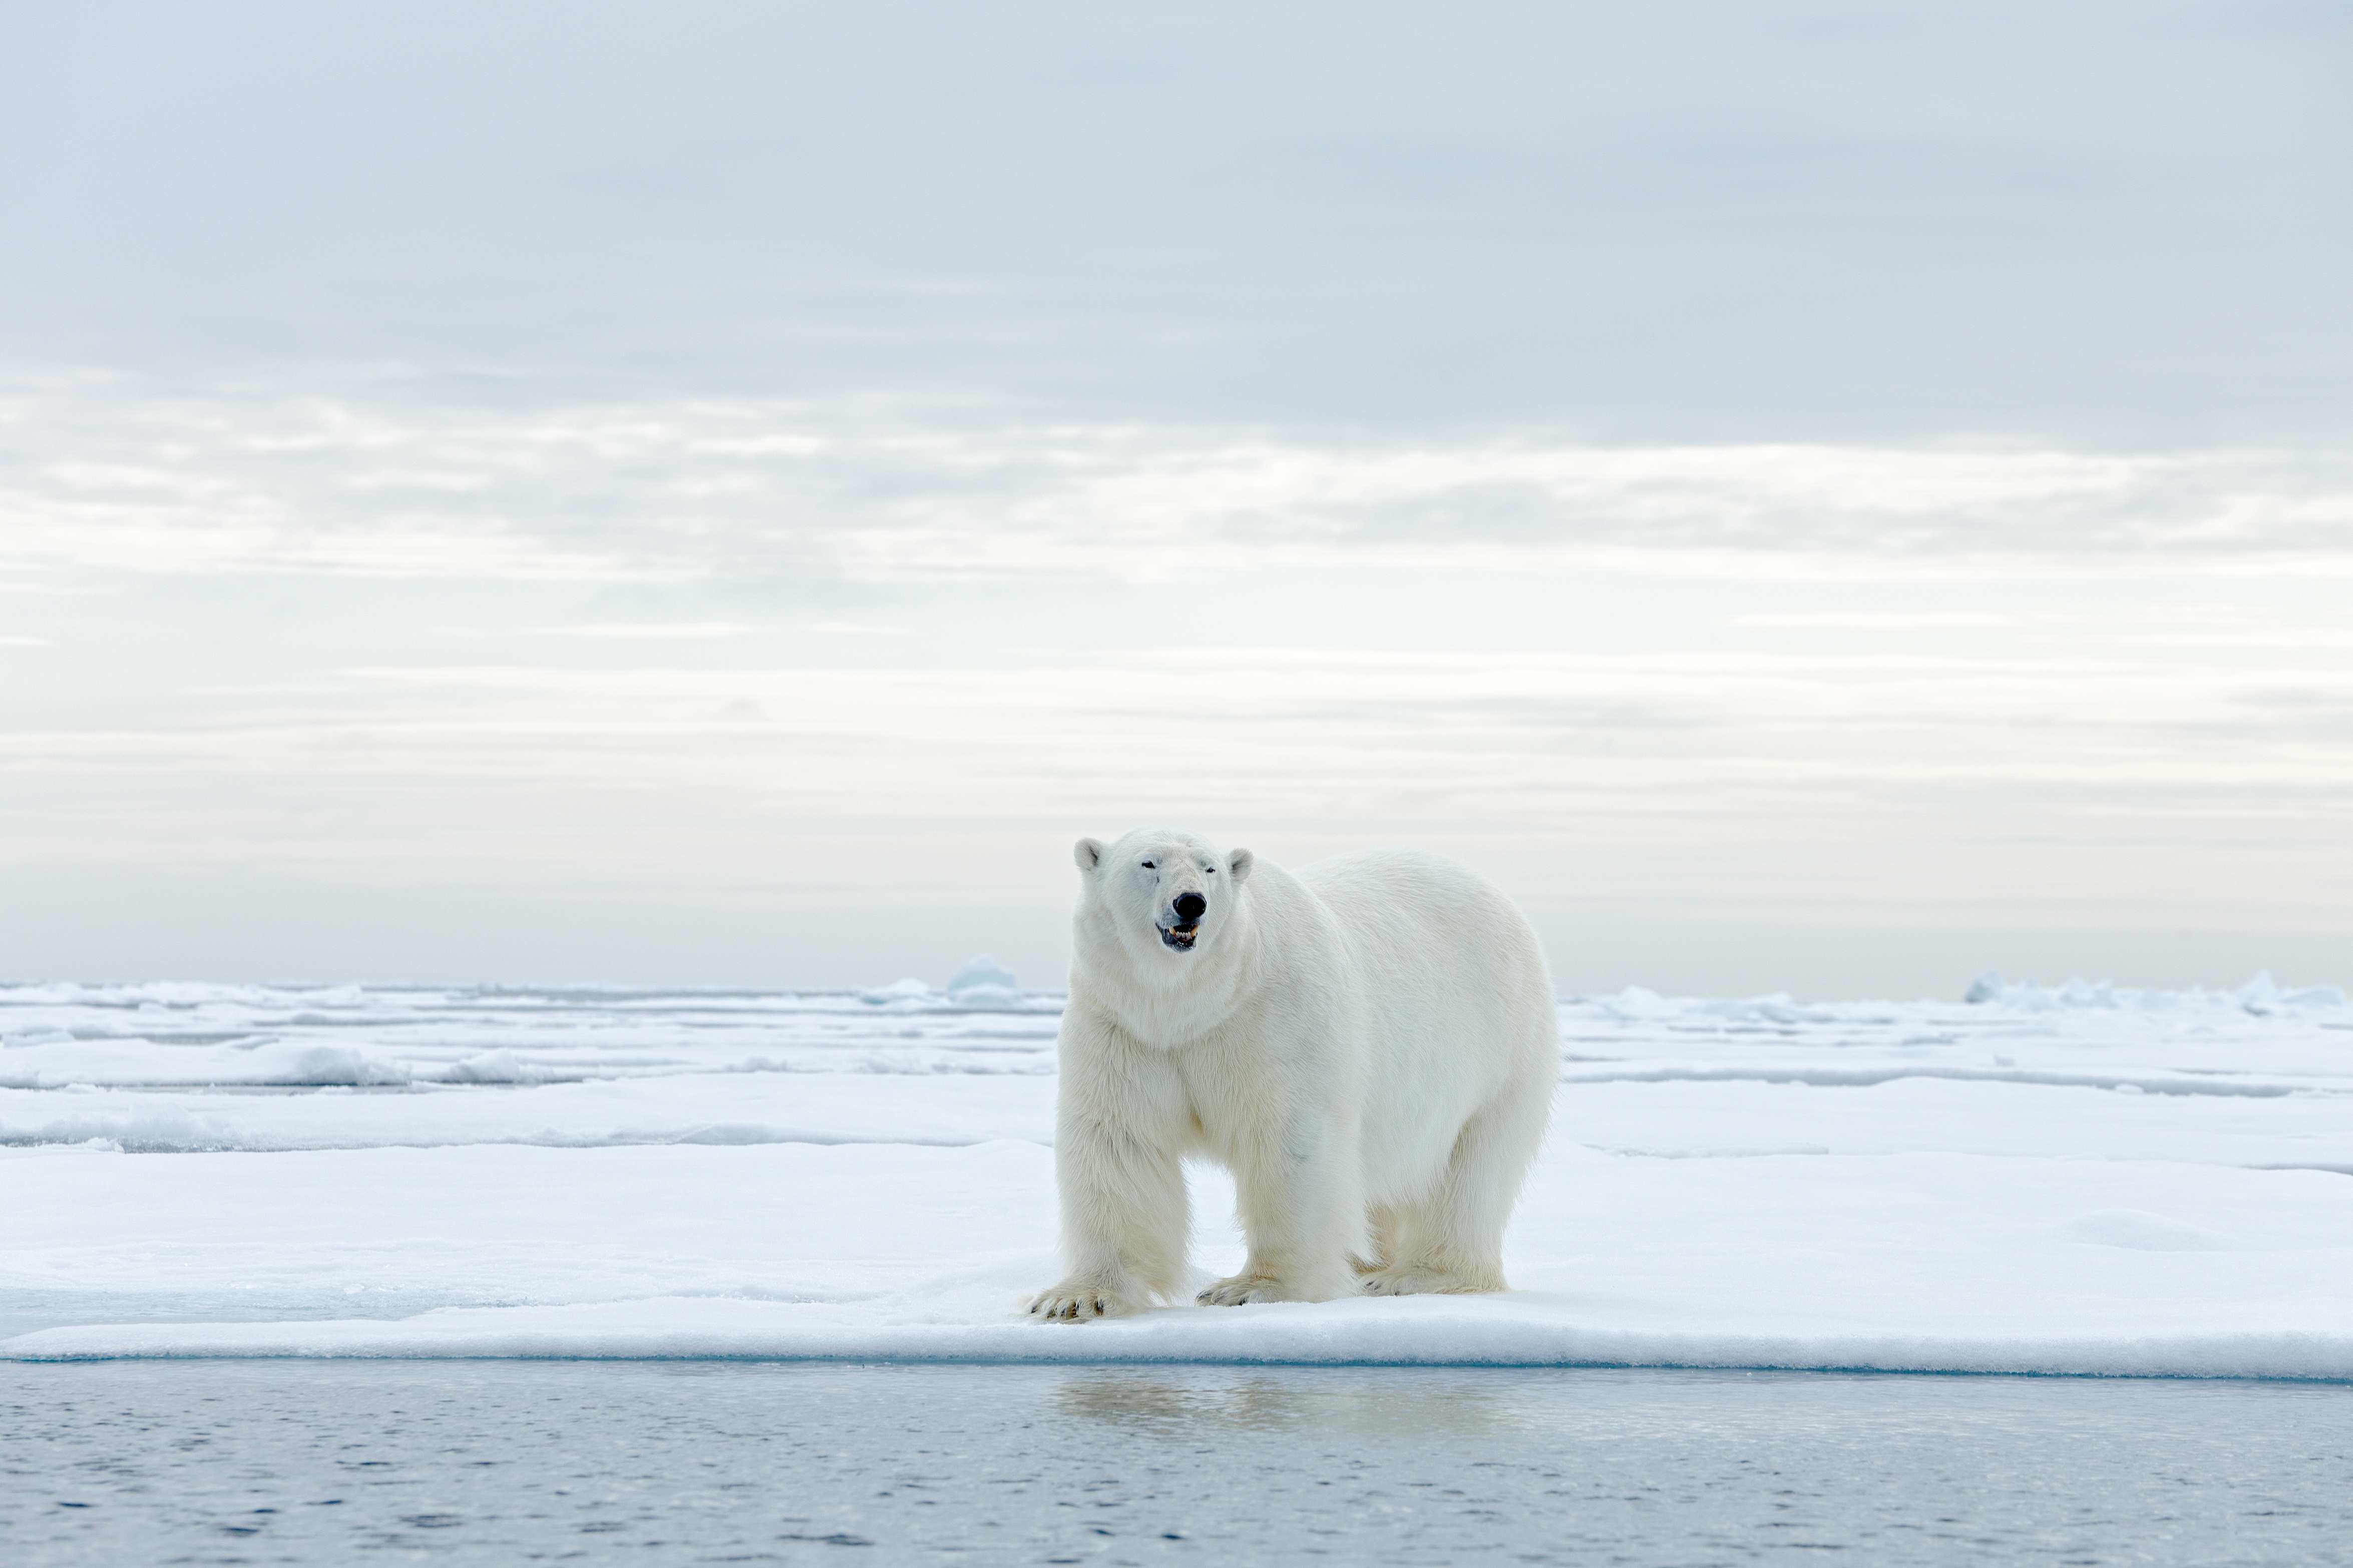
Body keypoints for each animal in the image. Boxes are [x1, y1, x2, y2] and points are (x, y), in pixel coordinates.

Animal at [1027, 827, 1559, 1320]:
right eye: (1148, 862)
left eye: (1209, 867)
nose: (1191, 903)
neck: (1193, 1004)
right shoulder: (1125, 1028)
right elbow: (1120, 1140)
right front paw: (1076, 1298)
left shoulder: (1273, 1022)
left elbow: (1290, 1142)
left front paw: (1251, 1288)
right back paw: (1367, 1265)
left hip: (1501, 1049)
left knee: (1471, 1170)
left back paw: (1411, 1275)